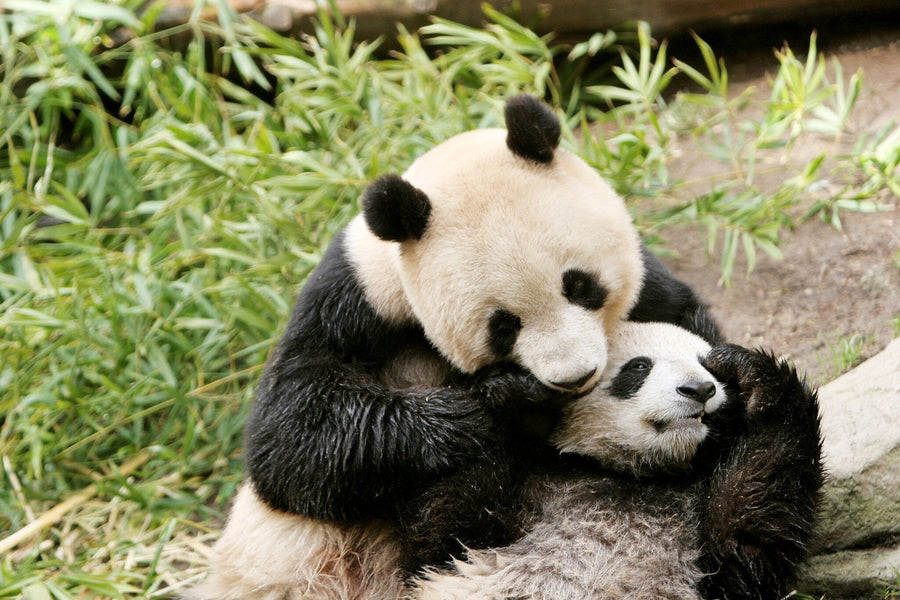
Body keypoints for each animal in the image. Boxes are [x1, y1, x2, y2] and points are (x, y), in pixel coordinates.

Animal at [190, 95, 721, 600]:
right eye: (502, 327)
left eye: (581, 286)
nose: (575, 376)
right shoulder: (352, 297)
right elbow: (288, 438)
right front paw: (479, 410)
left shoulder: (649, 283)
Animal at [411, 320, 824, 600]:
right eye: (639, 367)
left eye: (705, 365)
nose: (699, 389)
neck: (633, 473)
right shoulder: (529, 496)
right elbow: (447, 533)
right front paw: (510, 394)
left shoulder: (705, 549)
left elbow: (751, 531)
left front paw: (754, 373)